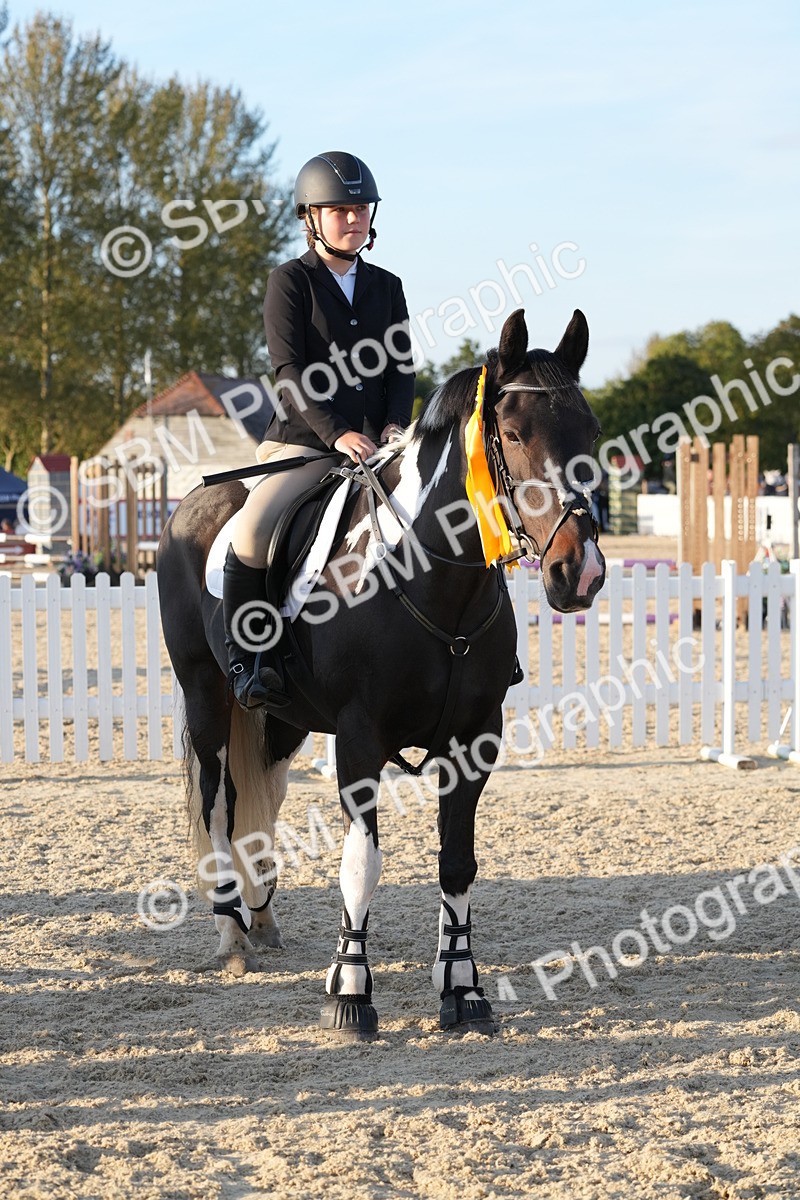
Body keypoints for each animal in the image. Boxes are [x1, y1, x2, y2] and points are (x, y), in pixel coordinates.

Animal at [156, 307, 606, 1039]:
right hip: (206, 696)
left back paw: (263, 919)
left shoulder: (474, 742)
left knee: (259, 803)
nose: (580, 572)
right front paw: (350, 993)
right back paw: (230, 932)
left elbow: (457, 863)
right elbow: (361, 867)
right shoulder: (360, 739)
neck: (434, 580)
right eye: (513, 433)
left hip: (279, 720)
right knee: (217, 801)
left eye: (590, 432)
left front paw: (462, 989)